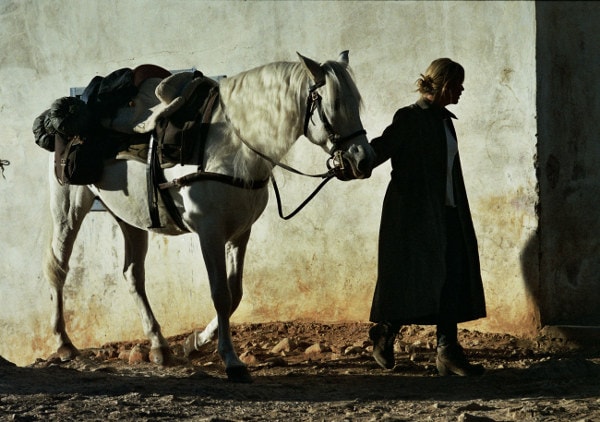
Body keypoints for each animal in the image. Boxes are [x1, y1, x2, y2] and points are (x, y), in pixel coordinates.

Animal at [43, 51, 376, 380]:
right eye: (333, 105)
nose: (363, 160)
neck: (234, 145)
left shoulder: (239, 233)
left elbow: (235, 293)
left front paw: (195, 343)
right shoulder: (210, 233)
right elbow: (220, 294)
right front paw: (230, 359)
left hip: (131, 217)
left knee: (133, 275)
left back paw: (159, 345)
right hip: (69, 207)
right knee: (58, 268)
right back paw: (64, 344)